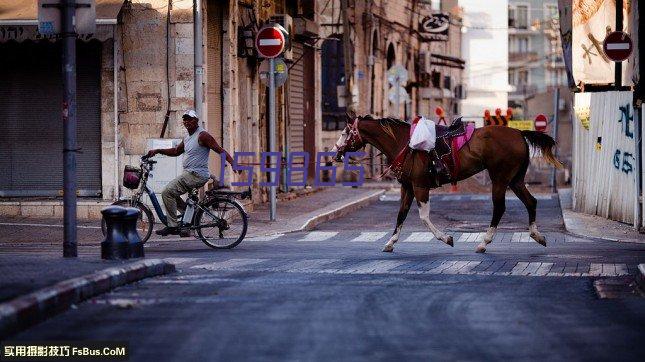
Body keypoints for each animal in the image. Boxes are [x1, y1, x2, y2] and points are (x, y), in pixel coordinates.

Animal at [332, 114, 564, 253]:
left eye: (345, 132)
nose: (335, 152)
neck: (405, 143)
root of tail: (519, 133)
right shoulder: (407, 187)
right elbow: (401, 215)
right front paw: (390, 242)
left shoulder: (420, 186)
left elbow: (424, 218)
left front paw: (446, 238)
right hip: (515, 180)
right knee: (531, 202)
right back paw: (536, 235)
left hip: (500, 179)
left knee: (499, 208)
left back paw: (484, 242)